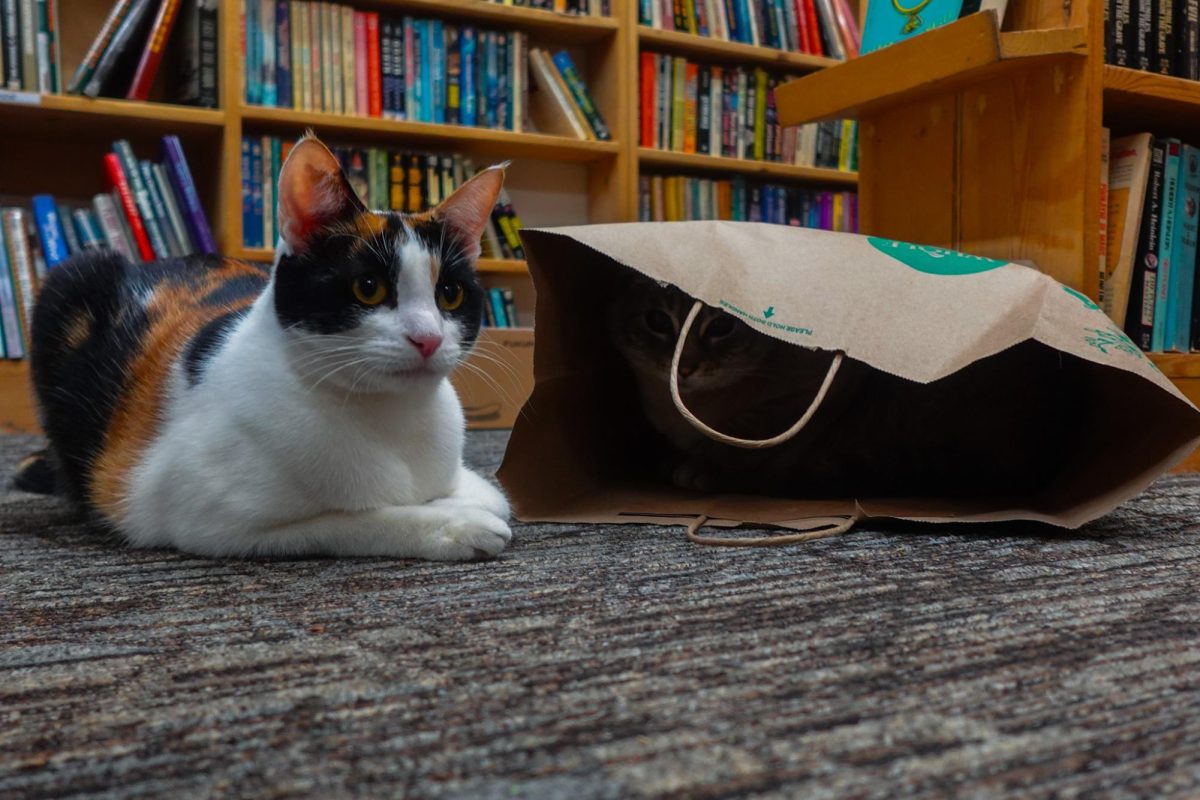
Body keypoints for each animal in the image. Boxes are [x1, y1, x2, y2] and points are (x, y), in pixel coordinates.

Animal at [15, 134, 511, 561]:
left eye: (450, 294)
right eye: (368, 287)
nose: (428, 337)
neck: (395, 423)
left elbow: (494, 495)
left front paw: (464, 503)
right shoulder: (207, 520)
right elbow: (353, 520)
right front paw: (457, 525)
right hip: (70, 279)